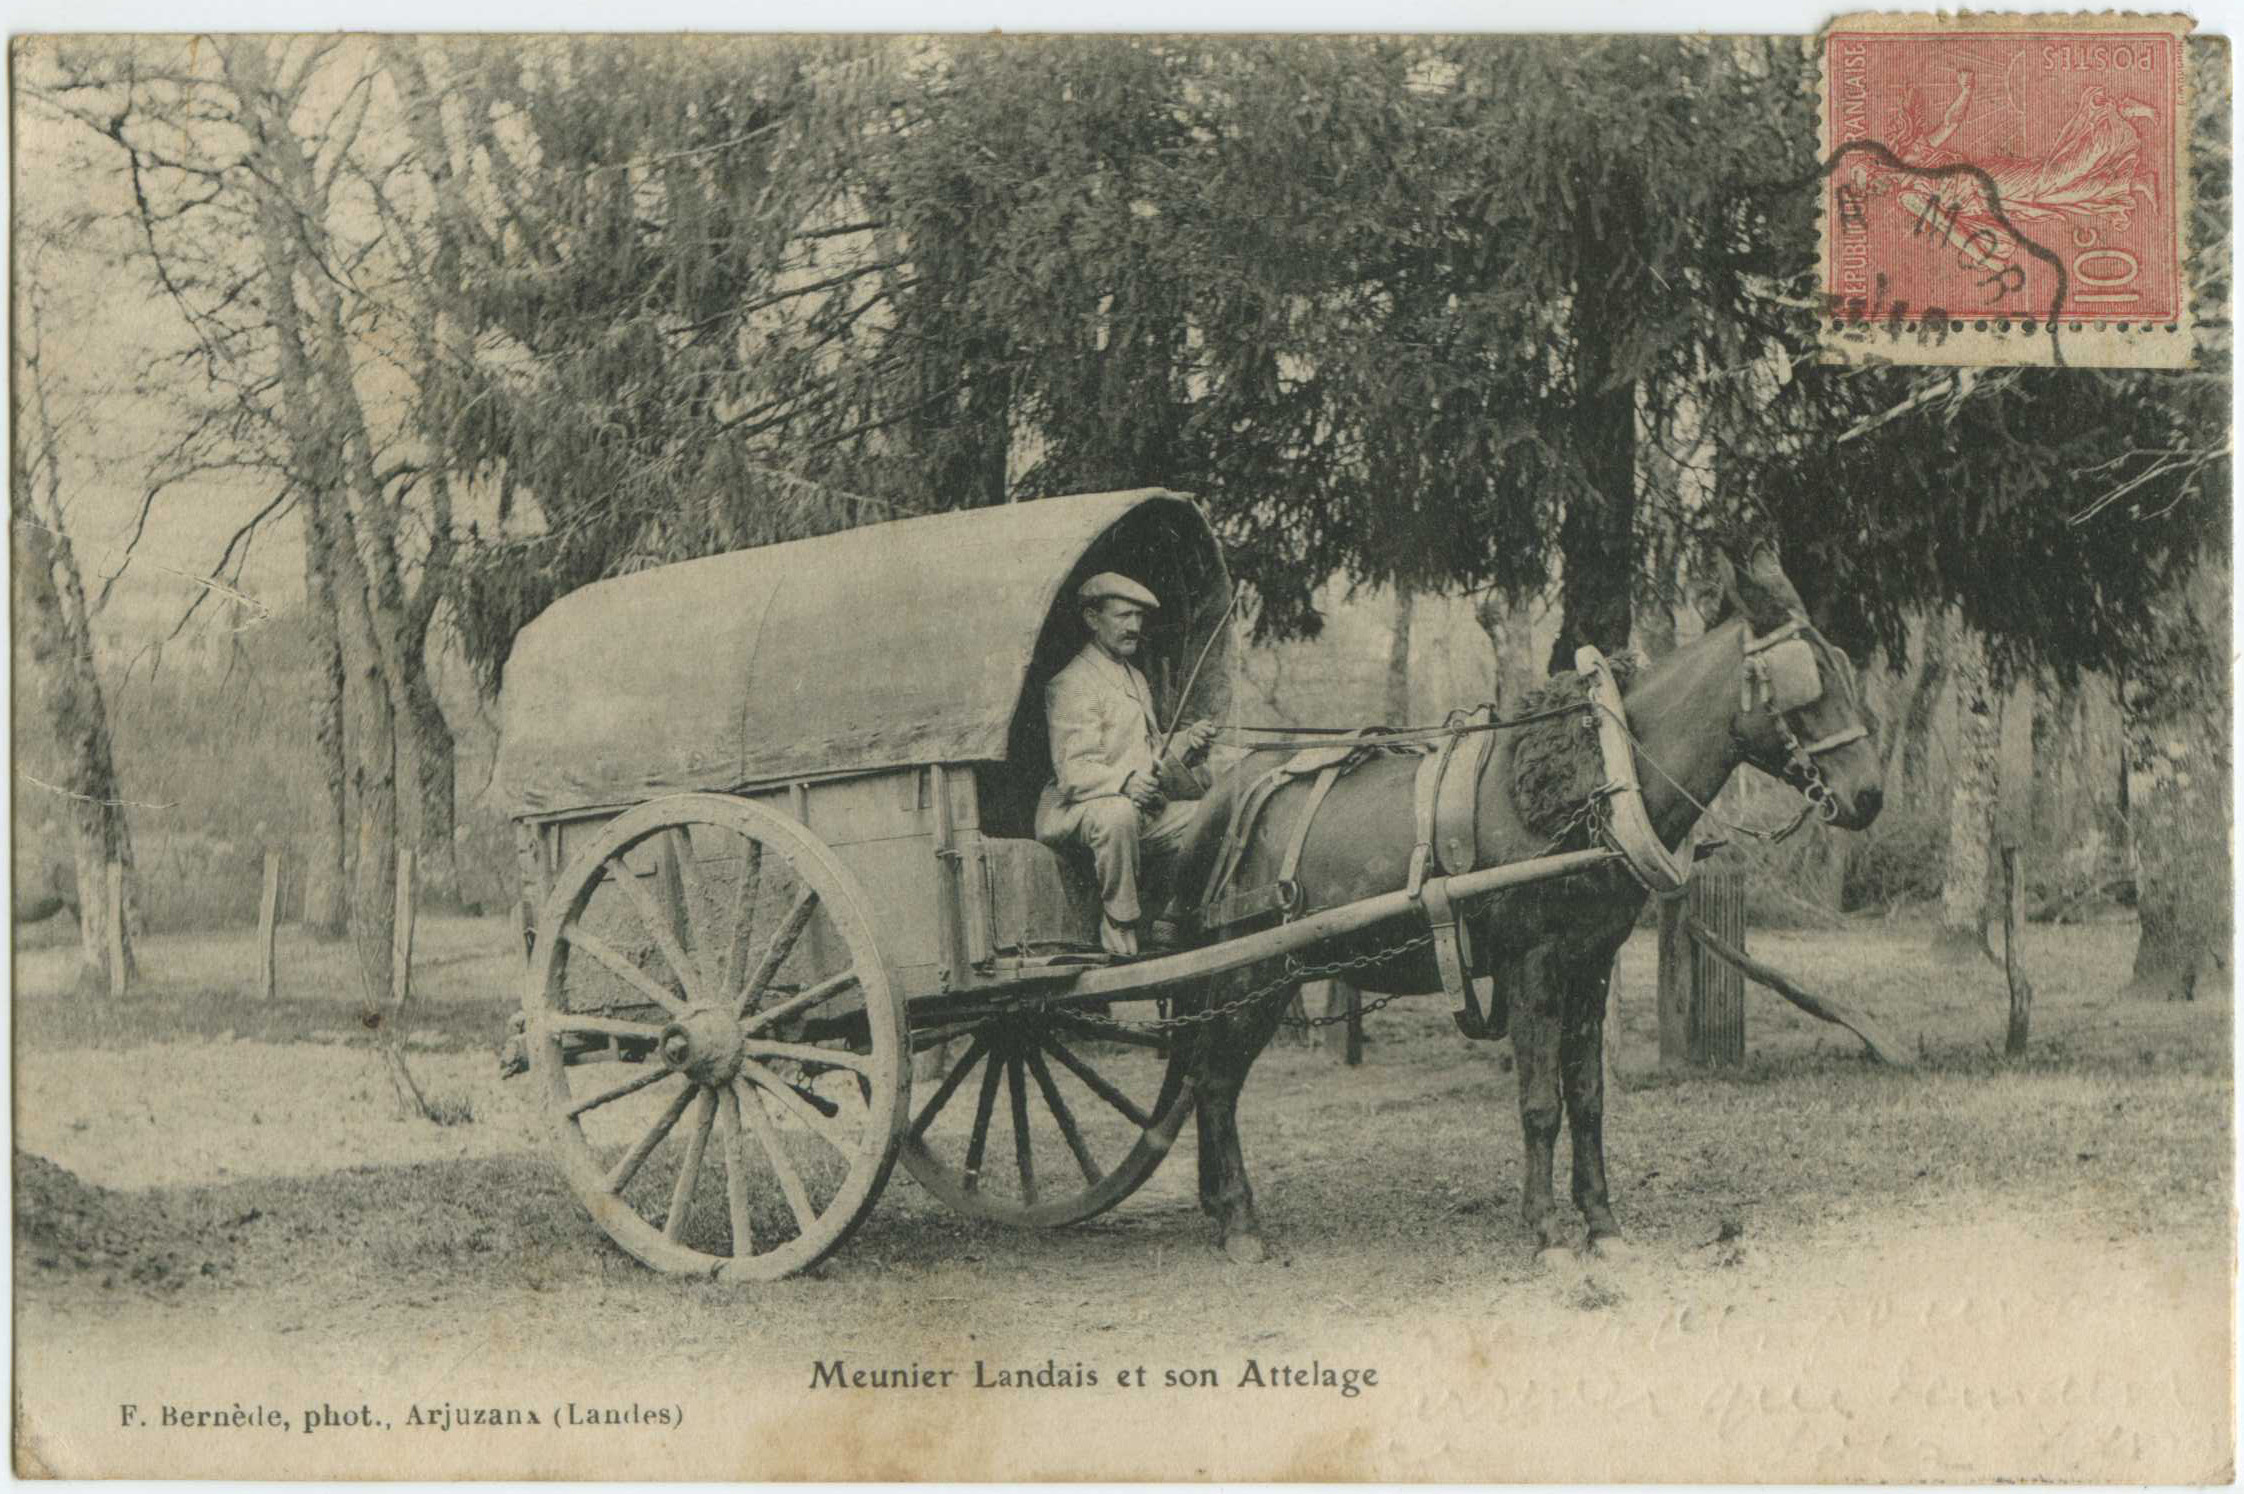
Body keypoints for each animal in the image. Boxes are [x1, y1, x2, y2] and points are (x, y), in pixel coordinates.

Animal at [1166, 536, 1884, 1256]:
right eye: (1810, 677)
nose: (1870, 794)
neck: (1595, 787)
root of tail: (1220, 799)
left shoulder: (1589, 967)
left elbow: (1588, 1097)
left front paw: (1601, 1221)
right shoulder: (1532, 964)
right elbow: (1541, 1103)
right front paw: (1546, 1230)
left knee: (1202, 1078)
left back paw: (1215, 1206)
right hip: (1252, 973)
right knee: (1216, 1083)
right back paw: (1239, 1221)